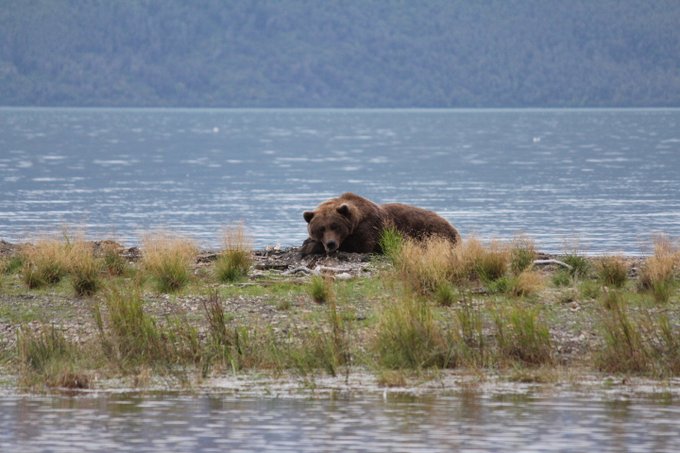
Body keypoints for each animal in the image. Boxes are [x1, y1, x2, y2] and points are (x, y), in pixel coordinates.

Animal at [300, 191, 460, 254]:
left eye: (335, 226)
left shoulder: (370, 229)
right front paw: (308, 242)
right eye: (321, 229)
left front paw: (310, 247)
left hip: (432, 232)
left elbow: (359, 246)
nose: (331, 243)